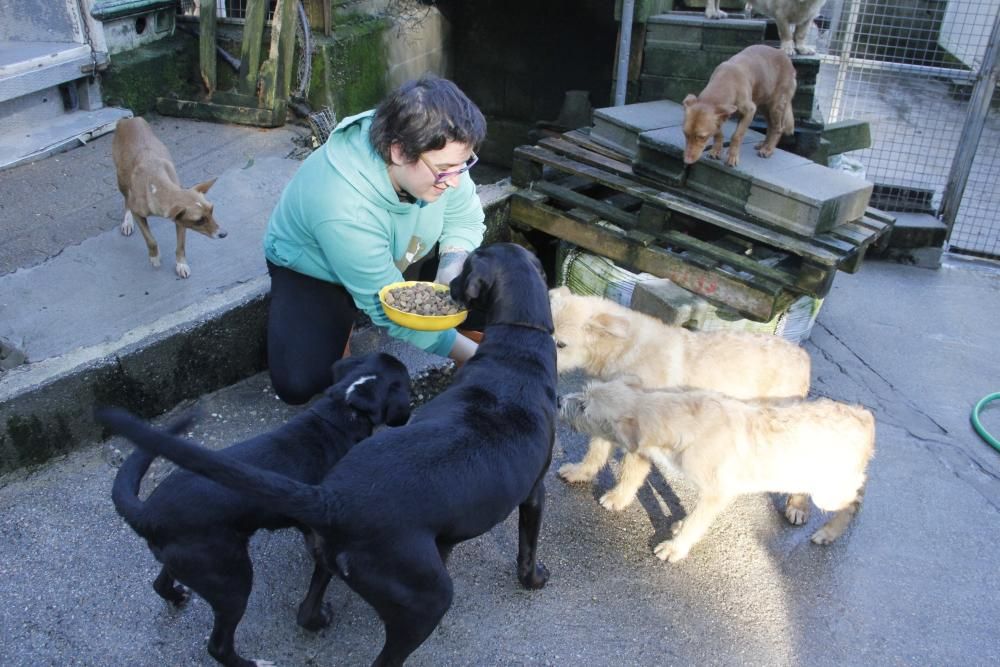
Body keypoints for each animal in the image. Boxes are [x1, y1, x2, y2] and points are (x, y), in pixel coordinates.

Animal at [96, 352, 414, 667]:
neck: (347, 405)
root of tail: (147, 514)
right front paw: (318, 620)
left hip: (196, 562)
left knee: (160, 583)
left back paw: (176, 595)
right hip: (232, 581)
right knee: (218, 646)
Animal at [112, 116, 226, 278]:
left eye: (212, 210)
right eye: (199, 221)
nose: (224, 234)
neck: (157, 184)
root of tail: (128, 119)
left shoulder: (180, 221)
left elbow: (181, 246)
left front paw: (181, 264)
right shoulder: (139, 213)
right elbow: (150, 240)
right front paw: (154, 257)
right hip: (121, 180)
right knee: (126, 199)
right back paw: (127, 222)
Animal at [552, 288, 816, 520]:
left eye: (561, 344)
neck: (626, 349)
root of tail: (803, 356)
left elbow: (631, 470)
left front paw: (619, 497)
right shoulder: (605, 413)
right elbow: (596, 451)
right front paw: (581, 472)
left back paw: (798, 507)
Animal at [564, 380, 876, 564]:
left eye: (584, 407)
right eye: (584, 393)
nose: (560, 399)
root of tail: (864, 416)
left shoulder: (718, 492)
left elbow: (697, 520)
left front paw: (676, 547)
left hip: (831, 492)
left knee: (856, 498)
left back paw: (828, 532)